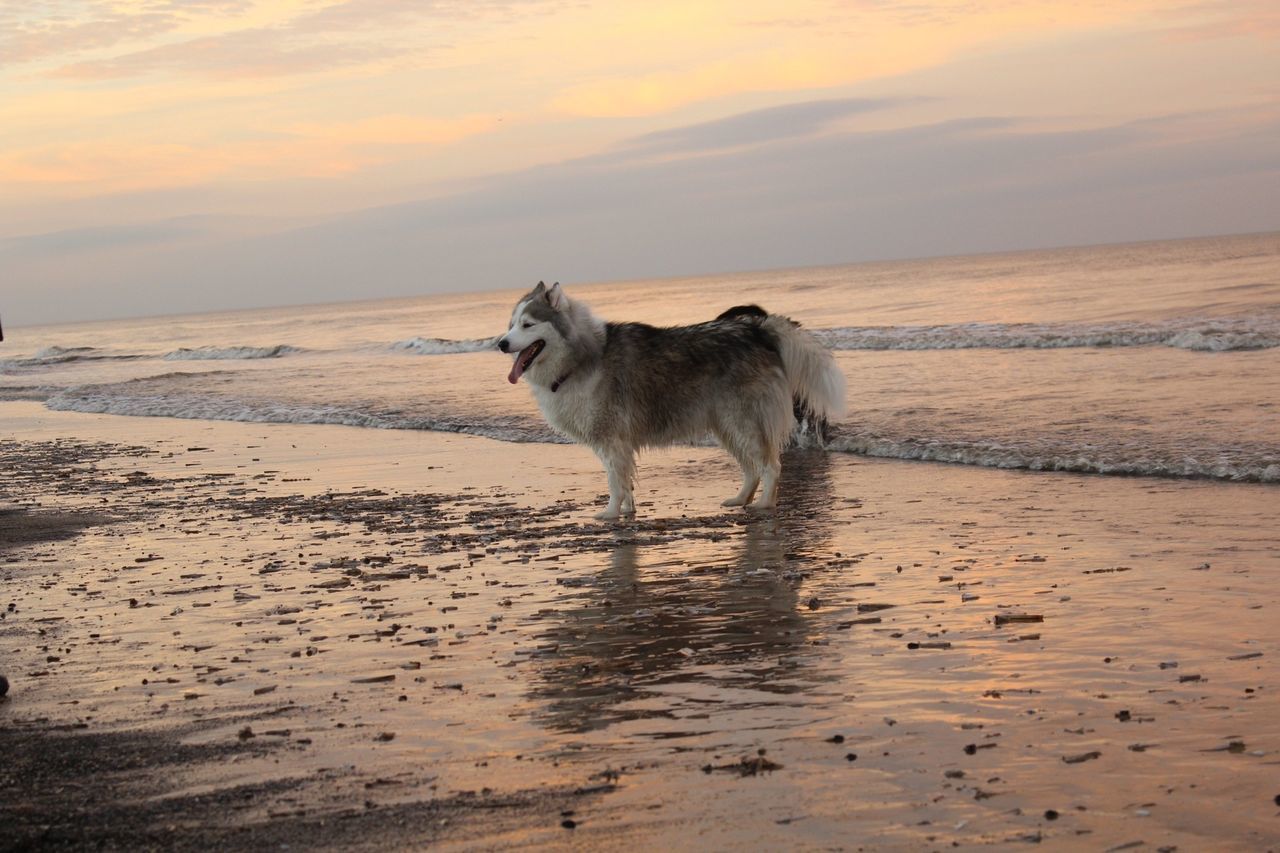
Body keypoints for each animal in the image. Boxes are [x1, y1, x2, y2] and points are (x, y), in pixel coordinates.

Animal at [501, 280, 849, 517]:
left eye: (527, 325)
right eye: (511, 325)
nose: (501, 343)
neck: (581, 358)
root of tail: (757, 330)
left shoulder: (611, 438)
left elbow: (615, 481)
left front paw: (611, 513)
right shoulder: (615, 442)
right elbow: (624, 480)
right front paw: (626, 511)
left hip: (743, 421)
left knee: (770, 465)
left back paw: (764, 503)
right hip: (726, 424)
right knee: (751, 468)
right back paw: (741, 499)